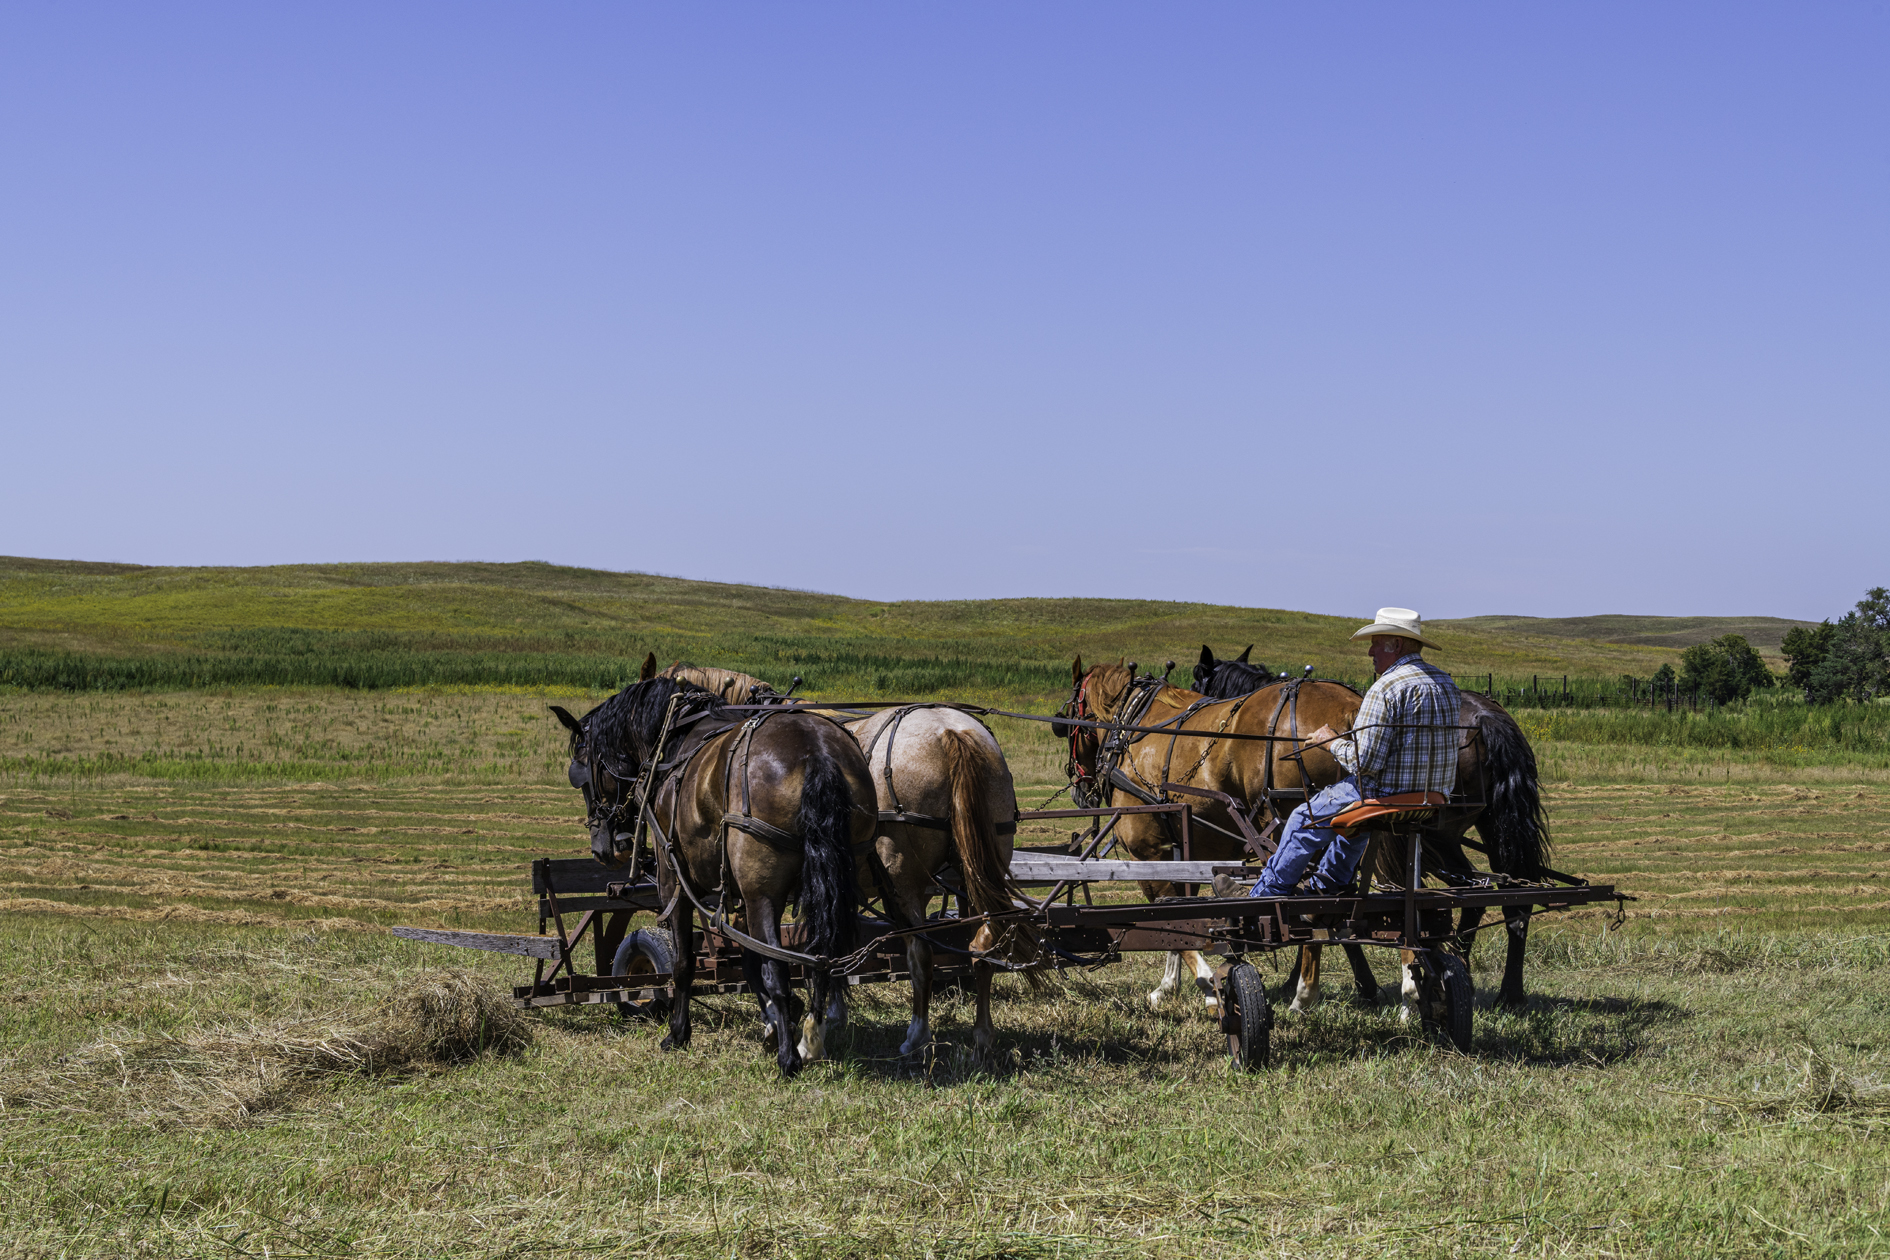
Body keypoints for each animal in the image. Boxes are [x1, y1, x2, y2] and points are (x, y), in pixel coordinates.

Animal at [548, 676, 869, 1080]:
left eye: (582, 771)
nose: (605, 848)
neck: (672, 740)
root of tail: (817, 752)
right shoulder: (740, 896)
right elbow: (748, 960)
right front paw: (773, 1022)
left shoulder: (675, 884)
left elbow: (685, 962)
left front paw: (678, 1034)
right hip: (833, 885)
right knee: (822, 957)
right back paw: (811, 1036)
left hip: (762, 893)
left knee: (780, 965)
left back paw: (789, 1058)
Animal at [1043, 657, 1368, 1012]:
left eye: (1068, 720)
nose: (1079, 791)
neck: (1130, 728)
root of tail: (1350, 708)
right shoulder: (1185, 852)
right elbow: (1182, 913)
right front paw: (1171, 984)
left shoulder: (1148, 852)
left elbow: (1169, 916)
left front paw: (1192, 984)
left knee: (1310, 903)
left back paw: (1303, 992)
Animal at [1194, 646, 1549, 1012]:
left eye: (1198, 680)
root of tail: (1487, 718)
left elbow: (1312, 905)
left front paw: (1318, 984)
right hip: (1491, 830)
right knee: (1513, 900)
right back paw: (1508, 991)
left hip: (1441, 837)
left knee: (1472, 897)